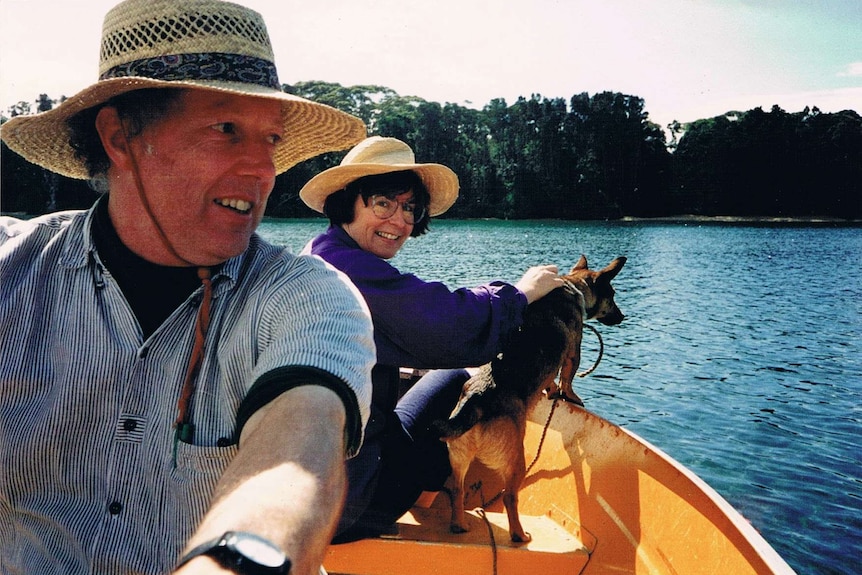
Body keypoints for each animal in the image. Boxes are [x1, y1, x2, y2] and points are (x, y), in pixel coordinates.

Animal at [436, 256, 624, 544]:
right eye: (612, 295)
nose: (623, 316)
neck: (572, 286)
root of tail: (477, 399)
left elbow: (551, 381)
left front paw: (551, 391)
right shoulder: (573, 352)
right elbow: (567, 380)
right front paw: (571, 396)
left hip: (458, 459)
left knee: (457, 490)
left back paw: (459, 525)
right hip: (517, 461)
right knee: (509, 497)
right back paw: (519, 534)